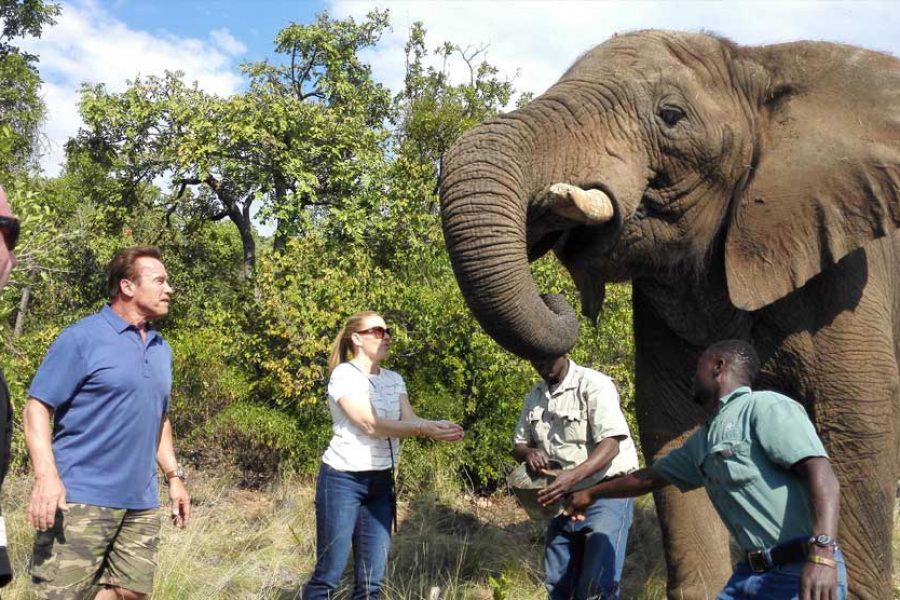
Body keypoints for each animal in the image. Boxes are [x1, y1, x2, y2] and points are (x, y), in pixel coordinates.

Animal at [439, 30, 900, 599]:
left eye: (671, 115)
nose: (555, 296)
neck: (757, 64)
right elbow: (674, 435)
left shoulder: (851, 279)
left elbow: (855, 433)